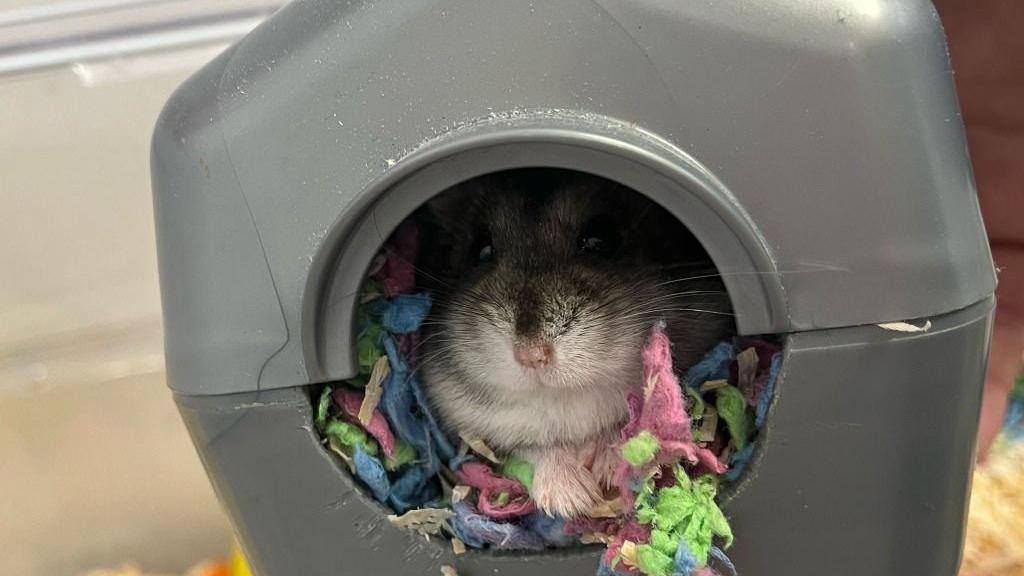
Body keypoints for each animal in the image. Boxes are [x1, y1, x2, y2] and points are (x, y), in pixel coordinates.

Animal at [415, 167, 737, 516]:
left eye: (601, 239)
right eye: (481, 249)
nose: (532, 355)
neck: (567, 398)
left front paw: (610, 477)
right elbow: (530, 448)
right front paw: (574, 499)